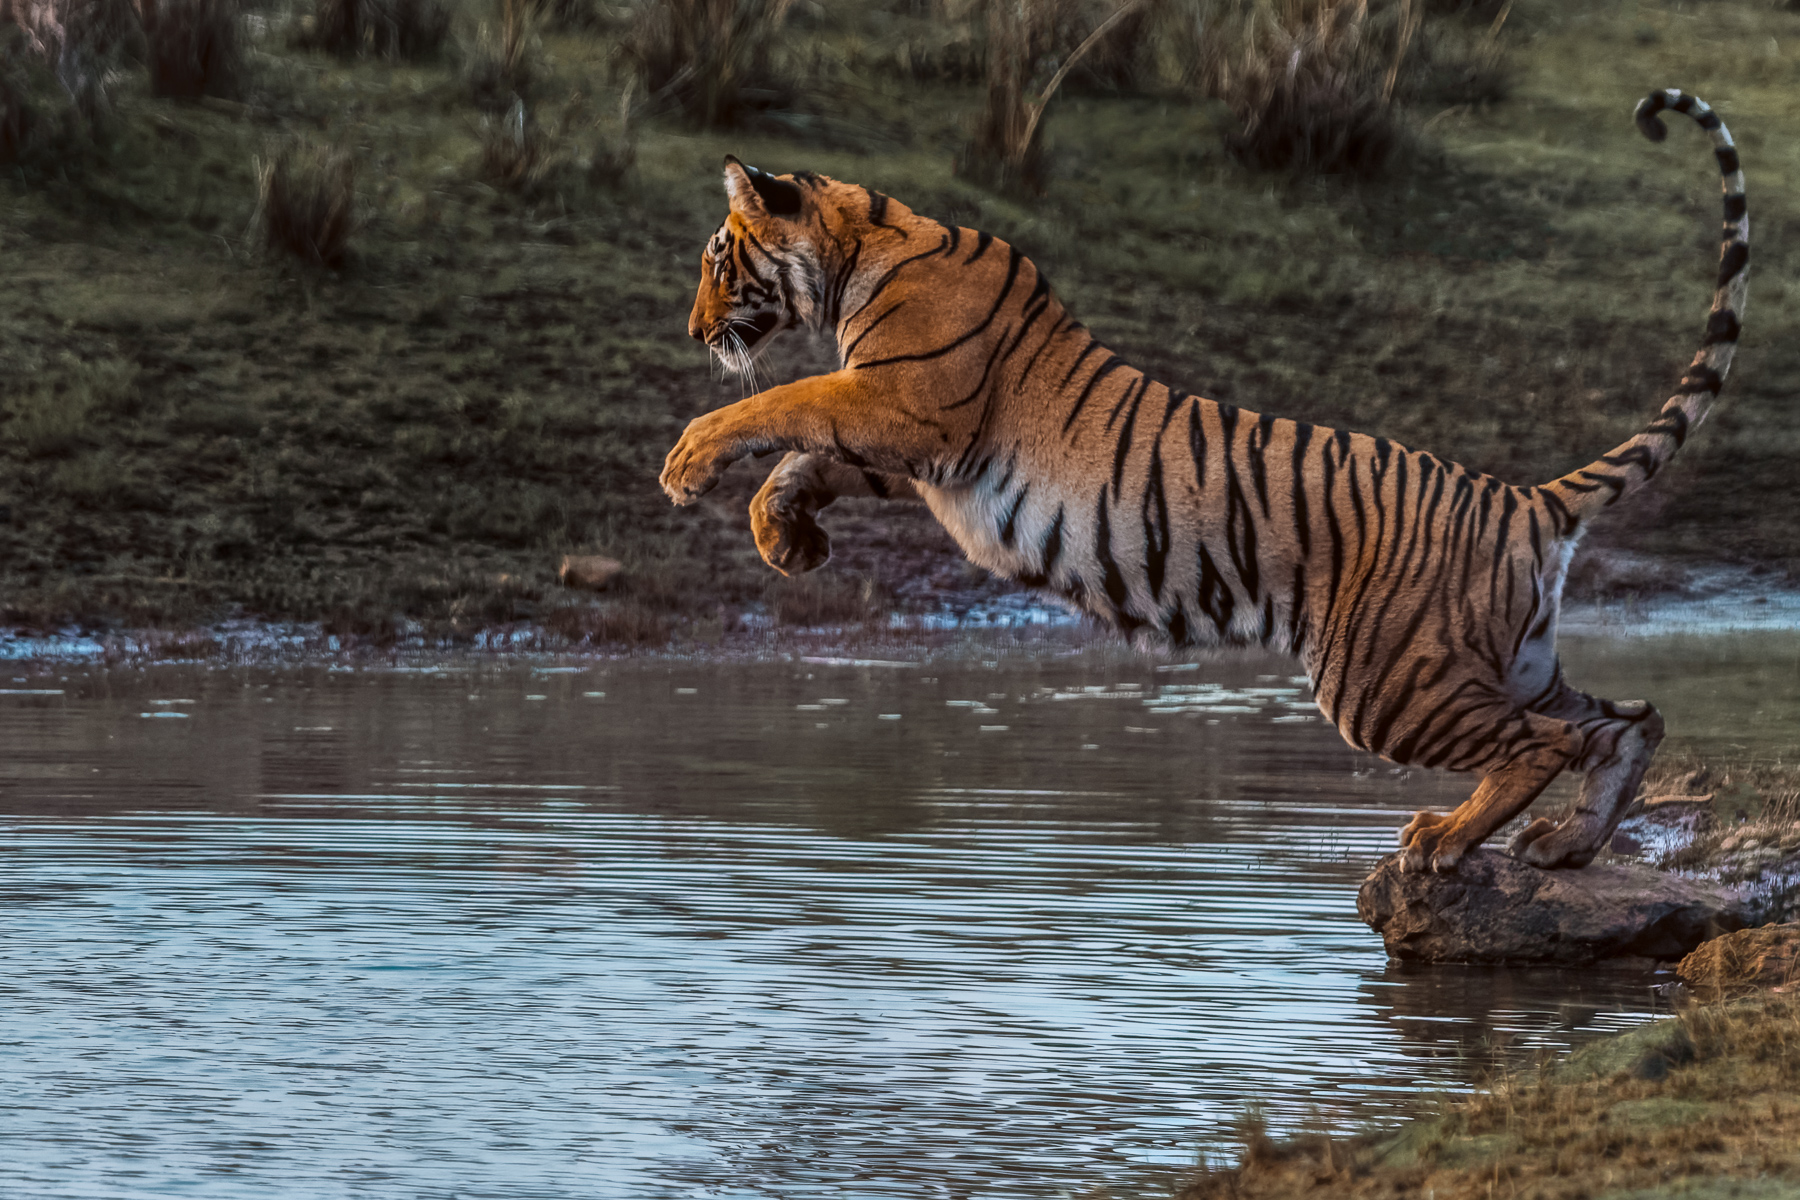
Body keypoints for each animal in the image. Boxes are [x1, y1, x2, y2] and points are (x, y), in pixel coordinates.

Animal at [661, 89, 1750, 875]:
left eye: (718, 261)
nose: (695, 332)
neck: (861, 251)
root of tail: (1526, 497)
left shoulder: (912, 407)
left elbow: (778, 404)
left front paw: (686, 463)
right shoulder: (921, 448)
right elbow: (808, 451)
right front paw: (785, 533)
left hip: (1385, 680)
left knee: (1540, 743)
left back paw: (1442, 841)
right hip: (1504, 657)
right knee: (1624, 722)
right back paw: (1566, 845)